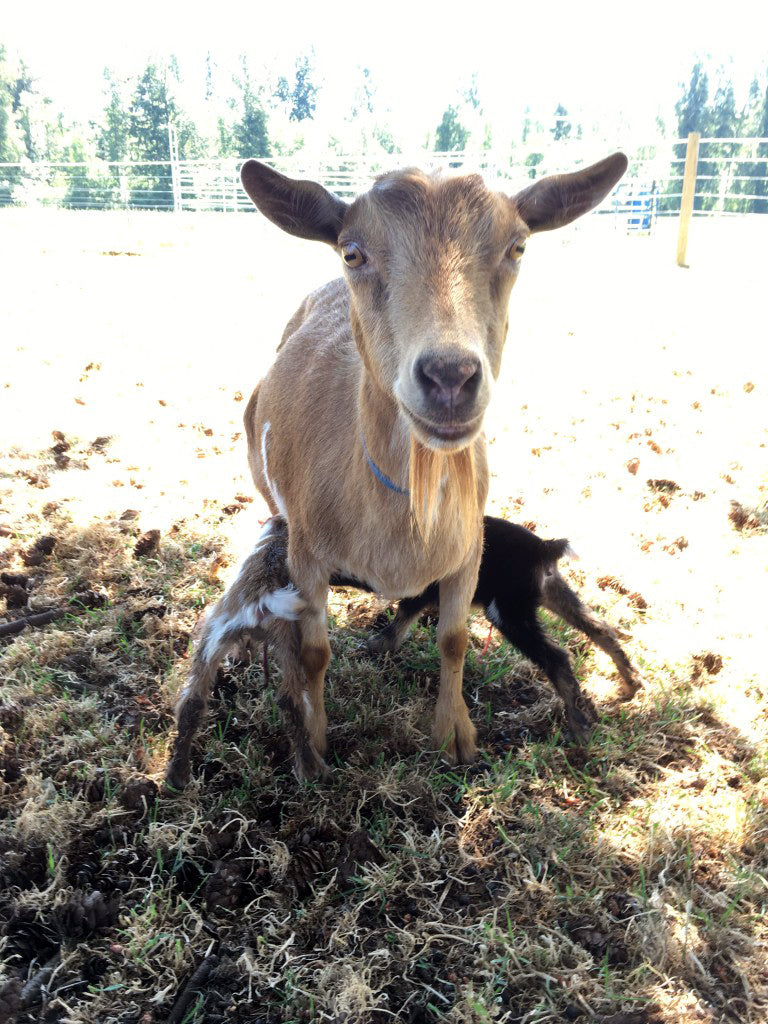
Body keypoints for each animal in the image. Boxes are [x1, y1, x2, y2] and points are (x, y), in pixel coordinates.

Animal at [334, 515, 643, 739]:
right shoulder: (424, 592)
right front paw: (378, 645)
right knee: (599, 627)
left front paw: (374, 646)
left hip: (508, 612)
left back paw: (579, 726)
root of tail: (543, 547)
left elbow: (403, 614)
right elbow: (402, 618)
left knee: (556, 657)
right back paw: (630, 685)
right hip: (550, 591)